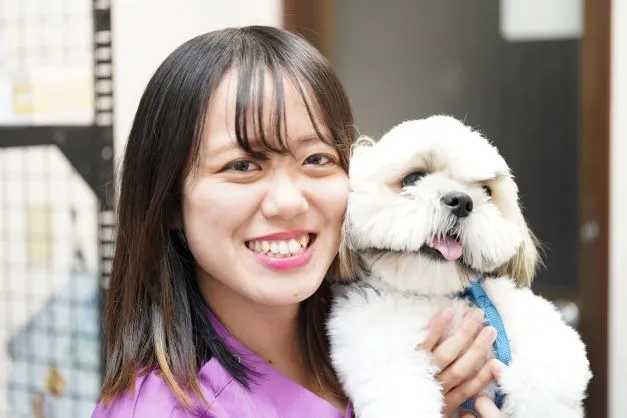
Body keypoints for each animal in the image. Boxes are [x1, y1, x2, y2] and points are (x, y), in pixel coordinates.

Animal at [327, 115, 592, 418]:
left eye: (487, 191)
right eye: (413, 178)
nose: (462, 201)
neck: (435, 293)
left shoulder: (543, 331)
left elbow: (547, 377)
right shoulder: (379, 351)